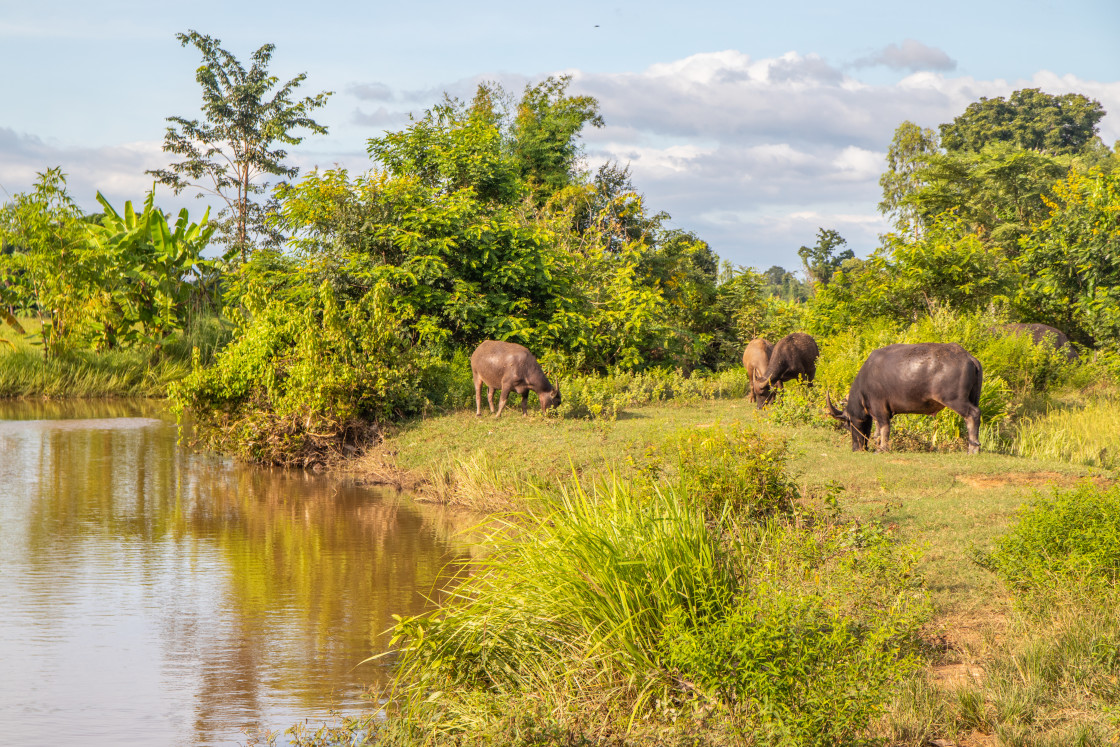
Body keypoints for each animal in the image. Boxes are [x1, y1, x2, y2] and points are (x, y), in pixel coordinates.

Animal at [828, 344, 985, 456]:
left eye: (848, 424)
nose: (856, 448)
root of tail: (969, 358)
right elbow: (877, 430)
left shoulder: (880, 407)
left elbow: (884, 428)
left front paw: (882, 449)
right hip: (972, 397)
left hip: (955, 400)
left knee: (973, 414)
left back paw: (973, 449)